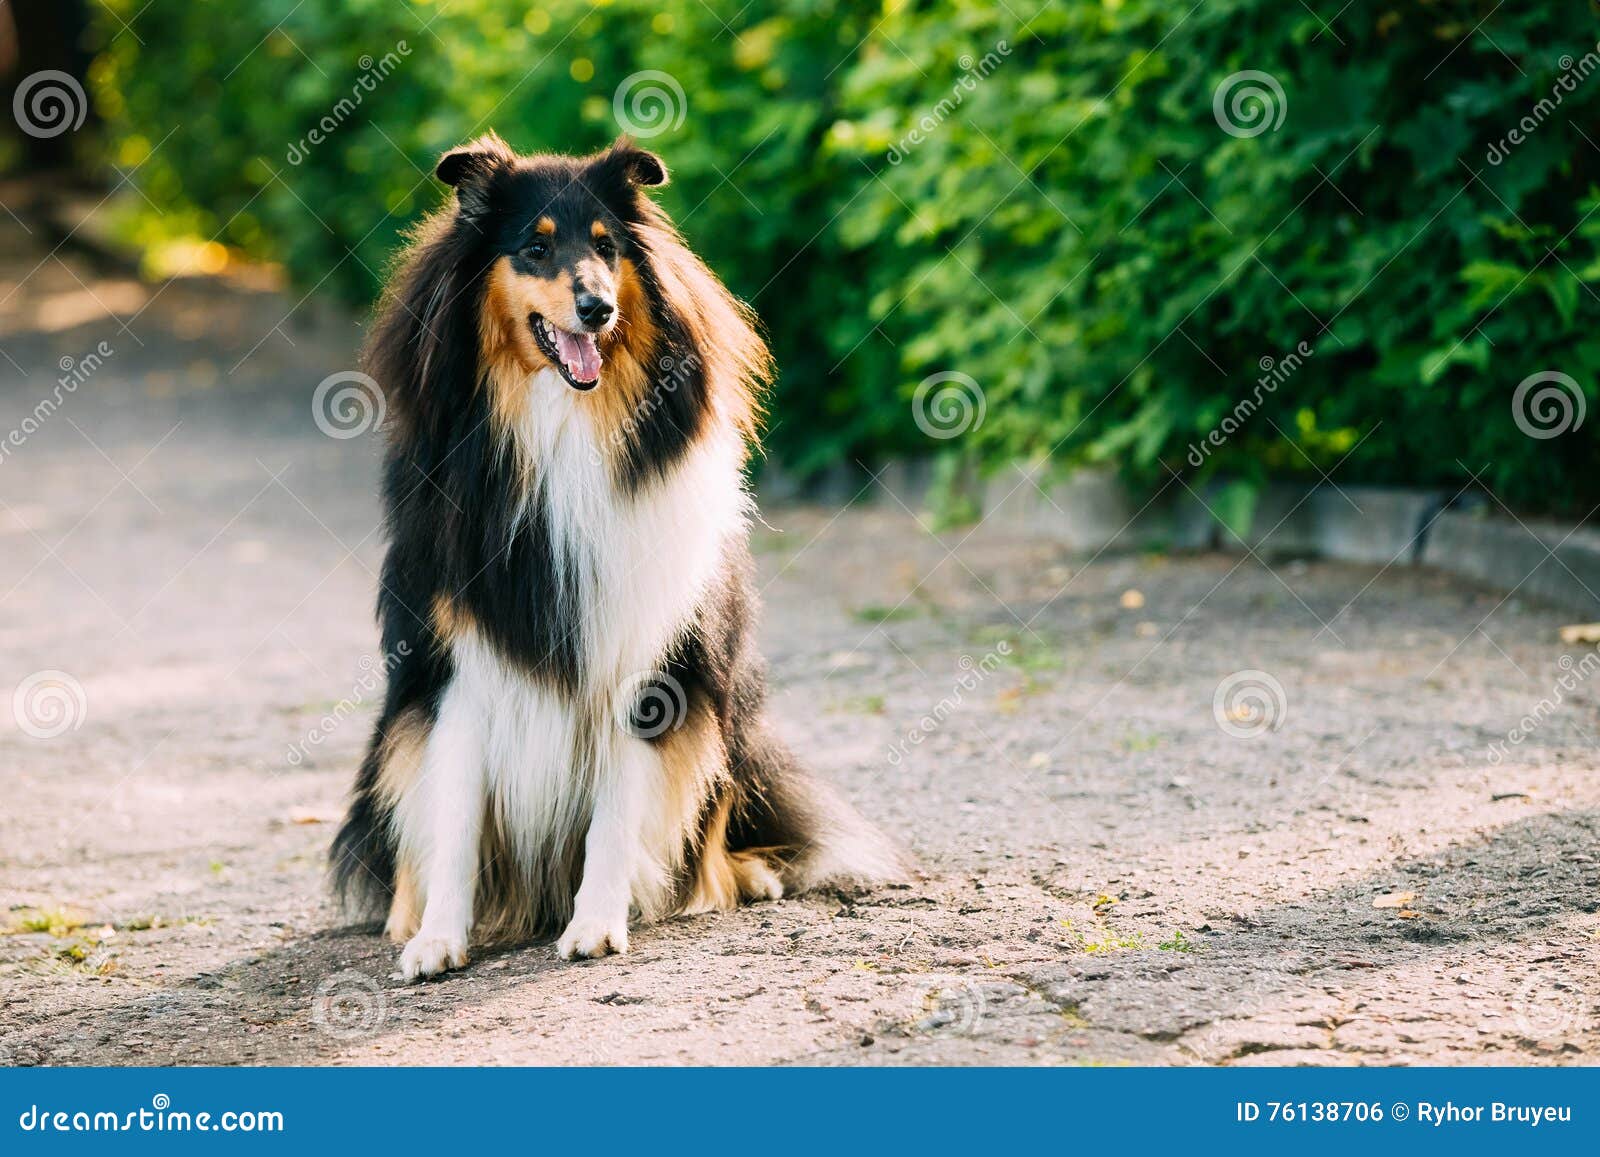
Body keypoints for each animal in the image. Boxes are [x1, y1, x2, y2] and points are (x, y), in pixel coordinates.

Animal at [332, 138, 902, 985]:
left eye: (606, 247)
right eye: (535, 247)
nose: (597, 307)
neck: (561, 422)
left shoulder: (652, 657)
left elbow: (619, 810)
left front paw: (597, 922)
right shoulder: (459, 659)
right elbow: (455, 811)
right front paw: (437, 937)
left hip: (730, 710)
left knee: (715, 824)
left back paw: (736, 878)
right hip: (401, 719)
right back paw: (408, 911)